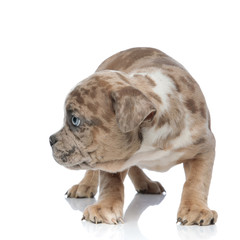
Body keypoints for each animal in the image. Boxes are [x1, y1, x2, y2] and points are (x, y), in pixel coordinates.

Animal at [49, 47, 218, 225]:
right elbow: (110, 182)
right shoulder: (112, 158)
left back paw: (146, 184)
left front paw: (195, 209)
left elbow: (196, 181)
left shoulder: (204, 147)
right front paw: (105, 208)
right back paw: (85, 185)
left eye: (75, 120)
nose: (50, 140)